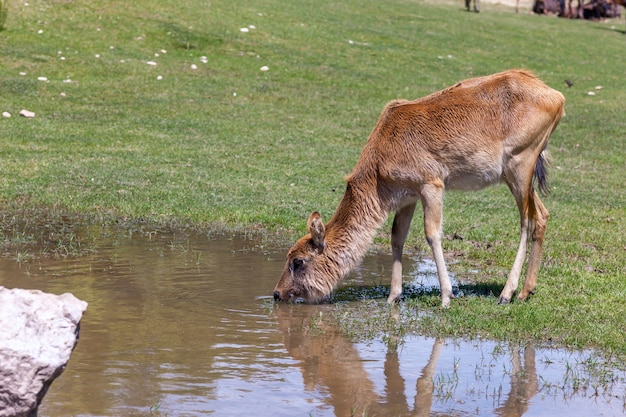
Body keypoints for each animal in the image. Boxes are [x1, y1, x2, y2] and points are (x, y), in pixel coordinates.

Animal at [270, 69, 564, 306]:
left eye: (297, 261)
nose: (276, 293)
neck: (379, 172)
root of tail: (558, 98)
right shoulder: (407, 196)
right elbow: (396, 236)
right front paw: (393, 296)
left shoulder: (430, 183)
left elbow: (432, 233)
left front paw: (446, 297)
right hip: (522, 173)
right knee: (543, 215)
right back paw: (526, 291)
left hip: (521, 162)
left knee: (527, 219)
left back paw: (506, 293)